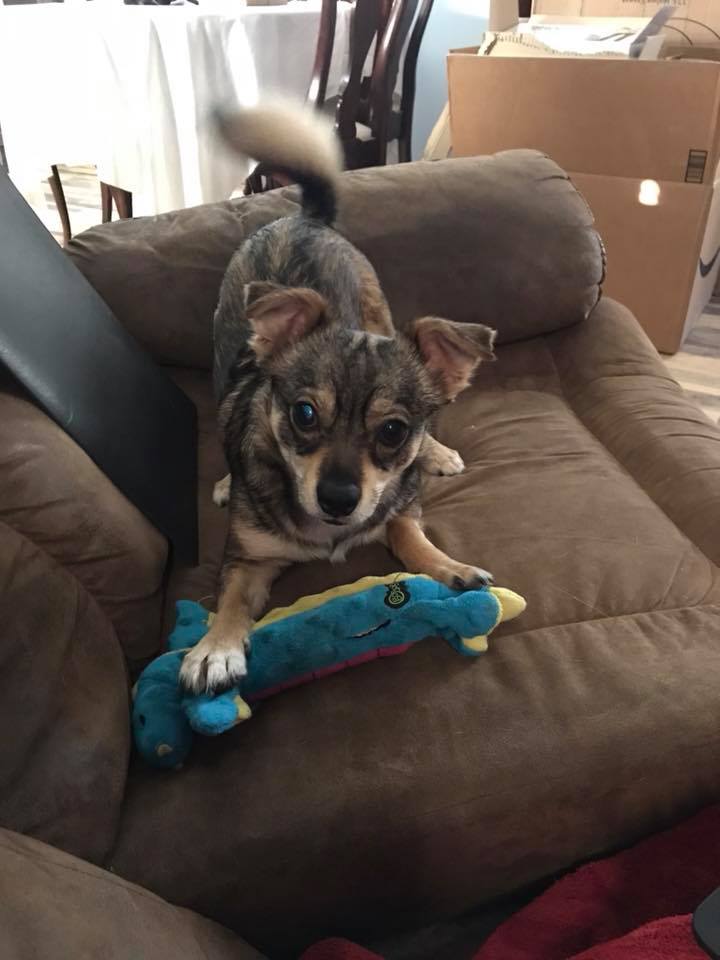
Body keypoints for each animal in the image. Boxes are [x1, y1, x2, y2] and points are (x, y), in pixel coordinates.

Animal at [180, 103, 496, 688]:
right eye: (304, 414)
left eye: (393, 431)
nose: (338, 499)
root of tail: (304, 217)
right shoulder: (247, 559)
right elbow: (229, 599)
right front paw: (215, 648)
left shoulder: (400, 507)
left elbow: (409, 534)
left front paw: (451, 568)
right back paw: (226, 480)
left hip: (379, 309)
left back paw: (438, 453)